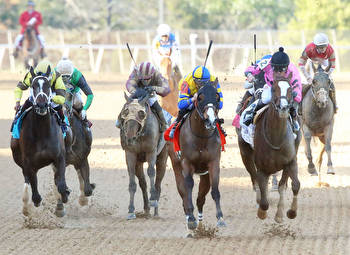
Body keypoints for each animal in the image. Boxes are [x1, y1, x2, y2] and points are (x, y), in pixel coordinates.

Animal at [10, 65, 70, 217]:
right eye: (33, 85)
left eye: (48, 85)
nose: (41, 105)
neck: (42, 132)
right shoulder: (28, 162)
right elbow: (35, 193)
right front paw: (33, 202)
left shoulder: (60, 157)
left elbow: (61, 185)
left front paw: (65, 195)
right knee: (27, 180)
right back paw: (26, 205)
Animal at [119, 88, 167, 219]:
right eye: (125, 112)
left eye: (142, 114)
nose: (130, 138)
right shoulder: (130, 153)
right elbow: (132, 179)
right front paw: (131, 210)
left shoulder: (151, 151)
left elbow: (151, 172)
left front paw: (153, 200)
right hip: (139, 162)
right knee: (142, 182)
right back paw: (146, 209)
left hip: (163, 157)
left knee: (158, 183)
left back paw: (155, 211)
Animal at [237, 73, 302, 223]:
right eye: (273, 89)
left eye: (291, 89)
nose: (284, 108)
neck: (276, 138)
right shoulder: (262, 168)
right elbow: (264, 201)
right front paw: (261, 212)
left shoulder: (291, 161)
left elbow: (294, 185)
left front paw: (290, 212)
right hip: (245, 154)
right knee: (254, 179)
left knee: (281, 185)